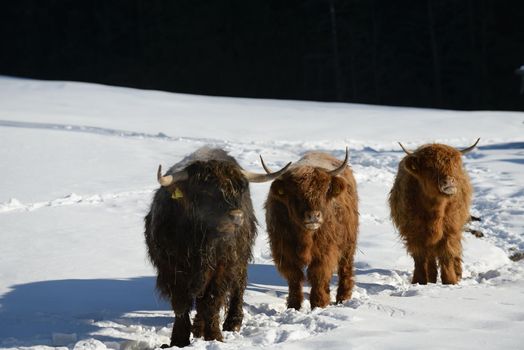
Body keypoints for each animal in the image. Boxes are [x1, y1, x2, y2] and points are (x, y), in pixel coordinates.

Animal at [145, 146, 288, 346]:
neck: (200, 241)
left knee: (238, 285)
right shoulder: (171, 269)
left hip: (240, 257)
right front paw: (179, 340)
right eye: (206, 192)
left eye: (239, 189)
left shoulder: (223, 267)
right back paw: (198, 328)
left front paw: (214, 336)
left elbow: (212, 301)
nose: (237, 216)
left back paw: (232, 323)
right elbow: (181, 304)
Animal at [264, 149, 358, 310]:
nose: (313, 215)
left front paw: (319, 304)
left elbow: (318, 274)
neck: (305, 237)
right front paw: (294, 305)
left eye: (324, 191)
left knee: (345, 268)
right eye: (294, 194)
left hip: (348, 242)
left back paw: (343, 298)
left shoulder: (325, 251)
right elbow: (294, 276)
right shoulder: (283, 251)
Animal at [388, 139, 478, 284]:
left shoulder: (450, 230)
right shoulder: (413, 232)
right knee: (429, 255)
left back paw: (457, 273)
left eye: (454, 165)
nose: (449, 181)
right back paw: (431, 278)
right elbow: (419, 257)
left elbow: (447, 253)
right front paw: (419, 281)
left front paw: (450, 281)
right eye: (430, 167)